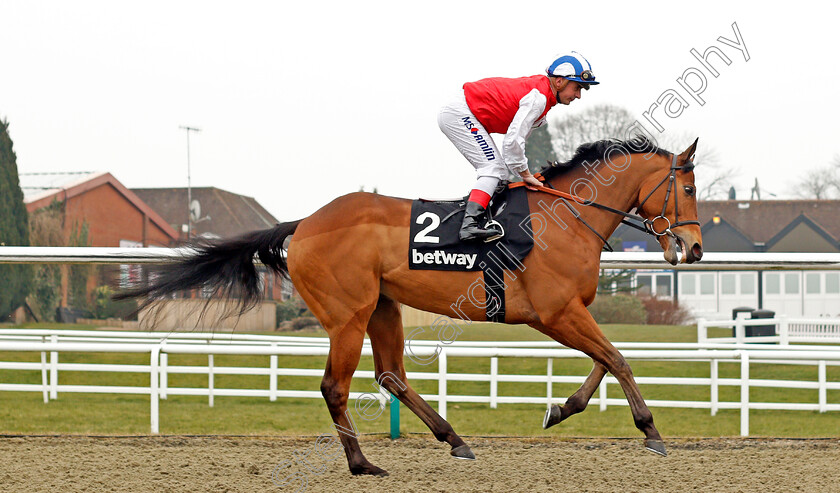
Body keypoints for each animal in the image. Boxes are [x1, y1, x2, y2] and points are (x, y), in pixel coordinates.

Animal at [113, 135, 704, 476]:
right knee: (336, 386)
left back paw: (454, 439)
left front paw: (562, 409)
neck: (564, 219)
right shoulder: (556, 313)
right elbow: (618, 357)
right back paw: (362, 463)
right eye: (690, 188)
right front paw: (651, 431)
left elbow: (606, 361)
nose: (695, 248)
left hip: (382, 306)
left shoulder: (567, 313)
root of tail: (303, 224)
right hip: (347, 314)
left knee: (391, 374)